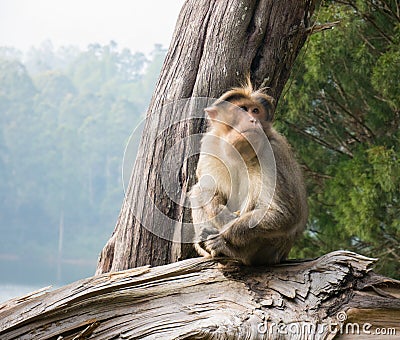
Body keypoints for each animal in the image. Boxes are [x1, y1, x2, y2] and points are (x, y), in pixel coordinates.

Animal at [189, 79, 308, 266]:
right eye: (243, 109)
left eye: (256, 111)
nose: (252, 120)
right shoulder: (210, 144)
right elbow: (207, 189)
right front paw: (217, 212)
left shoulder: (272, 151)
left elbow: (282, 214)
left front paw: (223, 230)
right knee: (198, 190)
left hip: (266, 251)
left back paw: (227, 250)